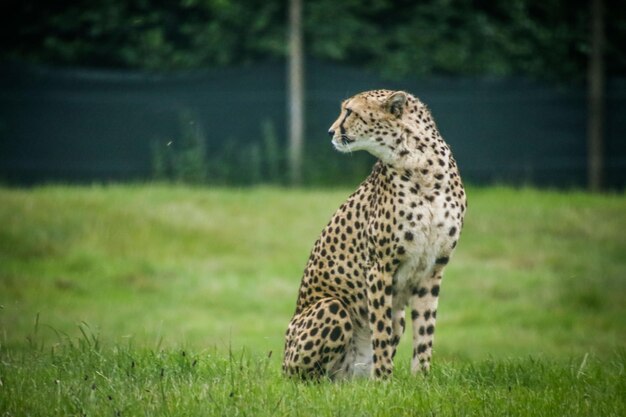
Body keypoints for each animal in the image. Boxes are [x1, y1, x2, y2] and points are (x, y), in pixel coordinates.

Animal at [282, 89, 464, 378]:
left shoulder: (433, 269)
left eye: (350, 111)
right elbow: (381, 332)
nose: (330, 131)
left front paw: (421, 380)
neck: (419, 163)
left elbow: (425, 332)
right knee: (307, 379)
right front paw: (384, 382)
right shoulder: (380, 267)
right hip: (331, 308)